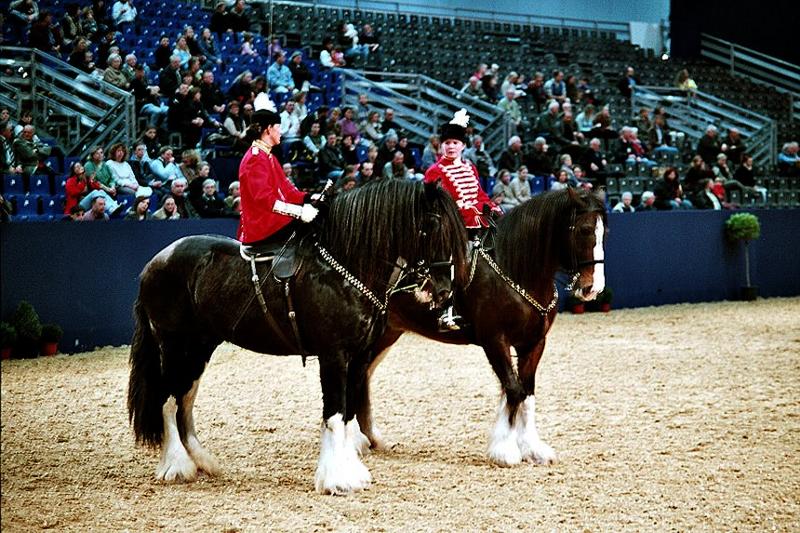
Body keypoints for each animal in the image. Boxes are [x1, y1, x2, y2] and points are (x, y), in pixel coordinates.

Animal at [126, 180, 468, 494]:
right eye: (433, 226)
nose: (444, 291)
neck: (344, 267)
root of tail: (155, 263)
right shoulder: (334, 356)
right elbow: (335, 415)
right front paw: (336, 479)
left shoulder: (357, 358)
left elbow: (347, 415)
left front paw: (352, 472)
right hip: (174, 347)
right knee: (168, 401)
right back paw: (177, 466)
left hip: (199, 348)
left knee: (184, 402)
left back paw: (204, 462)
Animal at [356, 187, 608, 466]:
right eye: (584, 230)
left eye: (604, 232)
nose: (593, 288)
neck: (515, 270)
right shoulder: (494, 341)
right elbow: (513, 389)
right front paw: (505, 450)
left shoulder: (533, 343)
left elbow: (527, 393)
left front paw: (533, 448)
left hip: (387, 334)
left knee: (363, 377)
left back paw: (371, 438)